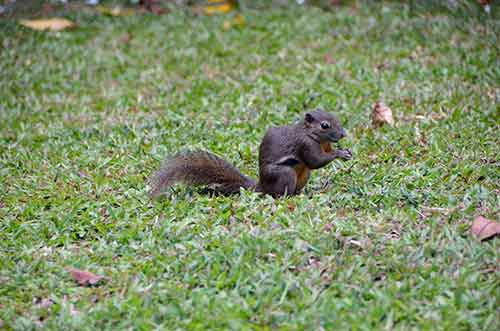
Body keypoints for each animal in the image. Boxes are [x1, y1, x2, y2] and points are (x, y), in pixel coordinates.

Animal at [148, 109, 352, 198]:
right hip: (284, 174)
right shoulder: (305, 144)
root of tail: (261, 186)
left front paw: (345, 150)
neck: (311, 134)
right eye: (324, 125)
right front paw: (340, 154)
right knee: (279, 194)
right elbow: (315, 161)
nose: (343, 134)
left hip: (303, 176)